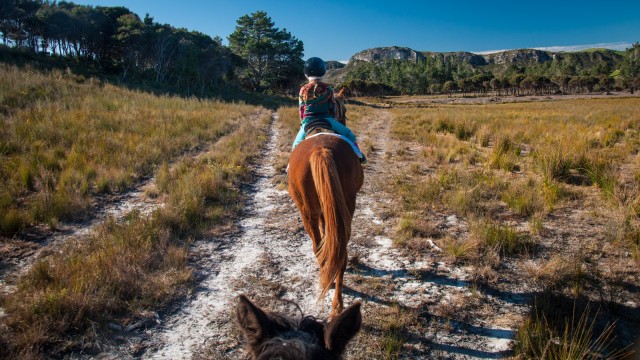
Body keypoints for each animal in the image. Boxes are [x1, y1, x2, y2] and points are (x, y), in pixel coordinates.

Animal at [288, 132, 362, 318]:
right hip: (343, 211)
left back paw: (326, 284)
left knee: (318, 248)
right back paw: (337, 303)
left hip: (307, 214)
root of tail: (321, 150)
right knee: (339, 252)